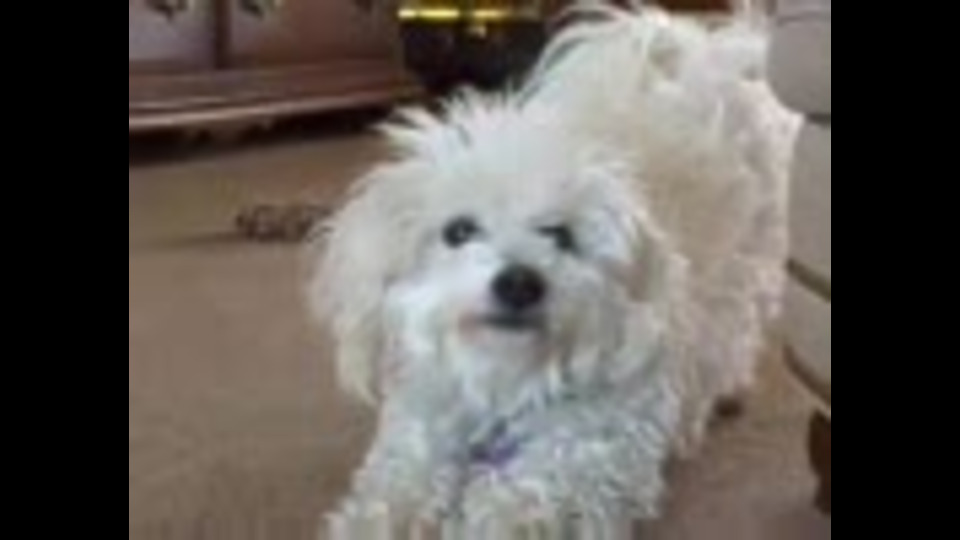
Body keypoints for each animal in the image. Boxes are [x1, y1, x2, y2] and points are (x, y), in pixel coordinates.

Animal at [310, 2, 798, 537]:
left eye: (561, 235)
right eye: (458, 231)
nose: (519, 282)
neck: (504, 382)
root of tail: (705, 53)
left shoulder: (588, 460)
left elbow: (522, 504)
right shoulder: (423, 430)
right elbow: (390, 494)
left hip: (748, 263)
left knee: (731, 334)